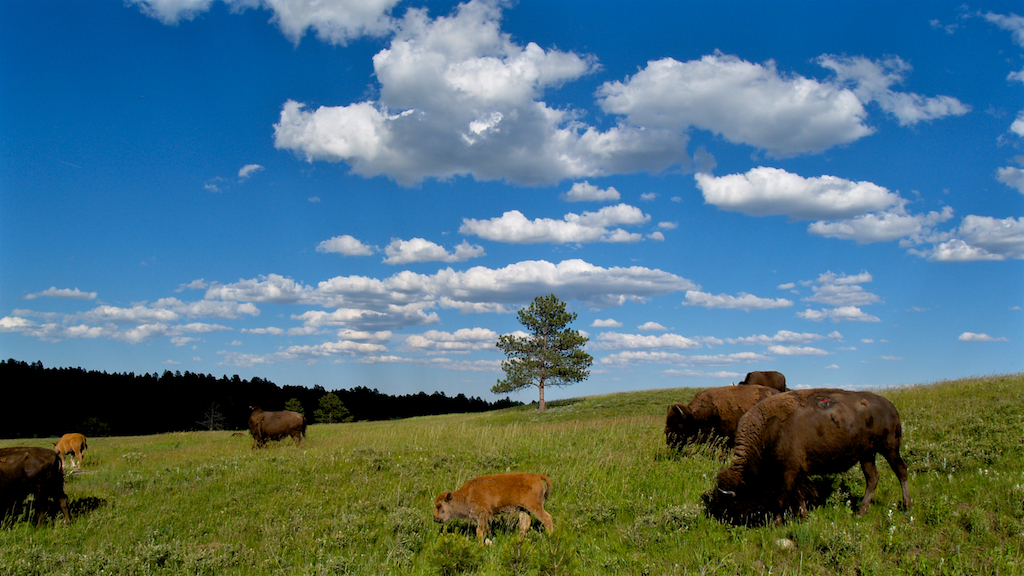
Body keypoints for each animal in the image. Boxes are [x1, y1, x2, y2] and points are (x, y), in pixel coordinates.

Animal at [705, 388, 911, 525]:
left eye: (732, 501)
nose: (725, 520)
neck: (769, 430)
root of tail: (890, 406)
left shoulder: (788, 473)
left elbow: (782, 498)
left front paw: (778, 522)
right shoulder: (797, 473)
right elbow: (798, 496)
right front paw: (803, 516)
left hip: (889, 448)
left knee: (901, 471)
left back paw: (906, 506)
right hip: (867, 454)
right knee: (873, 478)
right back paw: (861, 511)